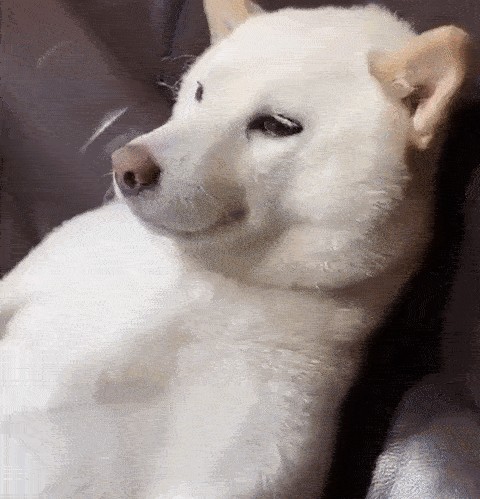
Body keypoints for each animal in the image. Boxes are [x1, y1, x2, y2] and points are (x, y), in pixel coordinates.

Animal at [0, 1, 471, 496]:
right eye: (200, 91)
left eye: (276, 126)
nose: (125, 165)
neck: (199, 282)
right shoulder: (50, 265)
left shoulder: (251, 449)